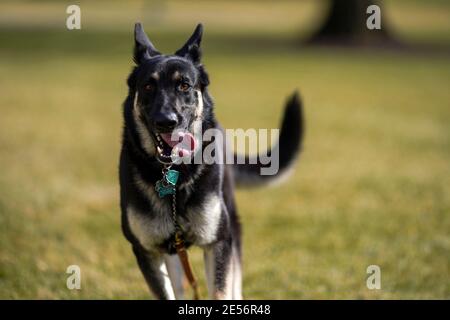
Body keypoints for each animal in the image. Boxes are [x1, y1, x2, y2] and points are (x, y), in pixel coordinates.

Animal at [118, 23, 302, 300]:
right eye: (148, 86)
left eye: (184, 85)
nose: (166, 121)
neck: (174, 175)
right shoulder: (147, 251)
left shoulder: (218, 243)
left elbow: (221, 291)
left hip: (232, 226)